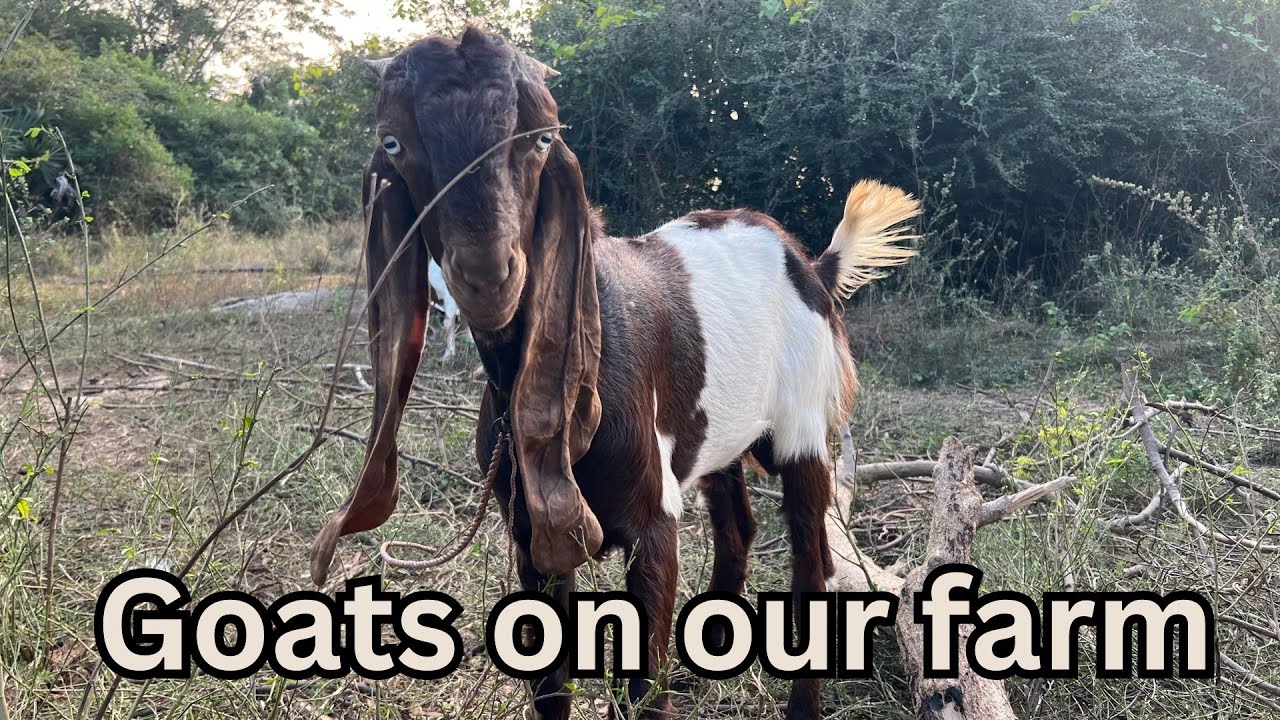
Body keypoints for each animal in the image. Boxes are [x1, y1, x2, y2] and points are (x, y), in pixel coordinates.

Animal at [312, 27, 920, 720]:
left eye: (543, 138)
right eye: (393, 141)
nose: (488, 276)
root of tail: (811, 263)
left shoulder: (654, 524)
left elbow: (644, 691)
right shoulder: (530, 536)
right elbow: (550, 686)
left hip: (803, 430)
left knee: (811, 556)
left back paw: (801, 705)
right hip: (716, 434)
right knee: (737, 527)